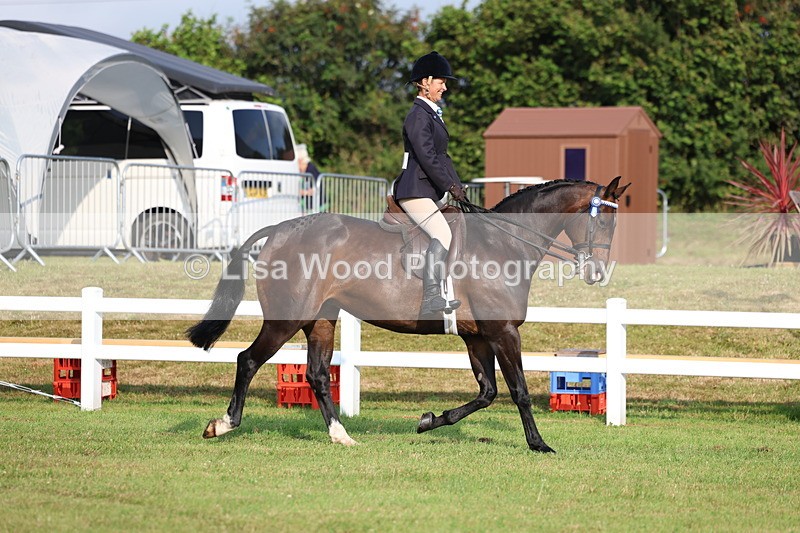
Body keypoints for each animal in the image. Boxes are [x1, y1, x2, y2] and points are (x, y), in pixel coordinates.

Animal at [187, 176, 630, 452]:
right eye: (605, 221)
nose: (596, 272)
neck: (503, 243)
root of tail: (279, 229)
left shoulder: (477, 336)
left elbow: (487, 393)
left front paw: (428, 420)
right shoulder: (503, 332)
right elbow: (518, 391)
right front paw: (539, 444)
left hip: (321, 320)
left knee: (316, 374)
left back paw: (341, 437)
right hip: (286, 319)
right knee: (248, 360)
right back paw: (222, 425)